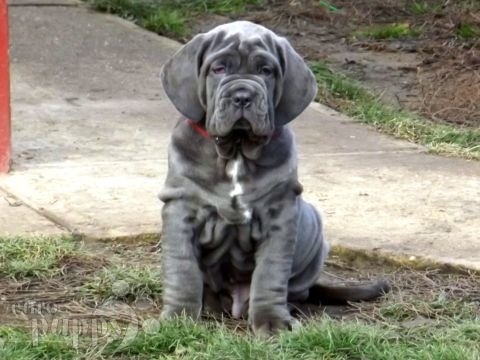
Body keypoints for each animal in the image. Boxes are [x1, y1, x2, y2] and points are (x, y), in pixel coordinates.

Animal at [159, 20, 388, 338]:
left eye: (266, 70)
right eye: (219, 68)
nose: (243, 96)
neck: (236, 151)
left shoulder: (280, 215)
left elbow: (270, 273)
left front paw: (273, 322)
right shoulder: (181, 209)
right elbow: (183, 270)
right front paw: (177, 318)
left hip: (313, 225)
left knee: (296, 290)